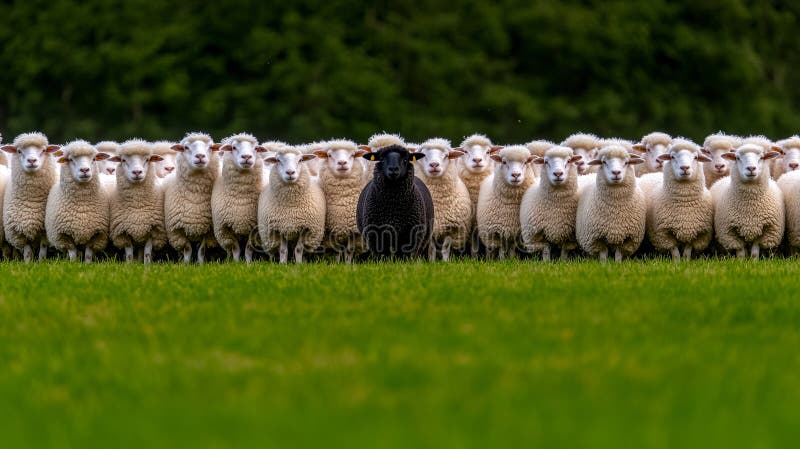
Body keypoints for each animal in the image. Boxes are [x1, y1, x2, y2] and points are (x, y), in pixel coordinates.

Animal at [1, 132, 60, 262]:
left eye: (43, 150)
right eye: (19, 151)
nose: (32, 160)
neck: (32, 200)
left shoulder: (45, 231)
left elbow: (43, 249)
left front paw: (41, 262)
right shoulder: (21, 230)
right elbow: (28, 252)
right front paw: (28, 263)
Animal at [164, 132, 220, 264]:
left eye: (210, 147)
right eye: (186, 147)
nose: (200, 156)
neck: (195, 197)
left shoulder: (208, 231)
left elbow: (201, 251)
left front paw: (201, 264)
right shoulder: (177, 231)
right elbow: (187, 250)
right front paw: (186, 264)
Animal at [211, 133, 266, 263]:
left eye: (256, 148)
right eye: (234, 147)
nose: (246, 156)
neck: (241, 197)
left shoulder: (254, 228)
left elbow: (248, 249)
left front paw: (248, 264)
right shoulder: (224, 229)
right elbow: (236, 249)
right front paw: (236, 263)